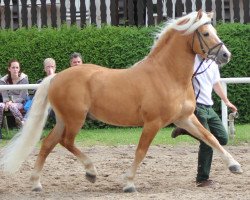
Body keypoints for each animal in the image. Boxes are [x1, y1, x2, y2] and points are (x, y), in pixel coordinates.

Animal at [0, 10, 242, 192]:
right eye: (206, 33)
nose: (226, 55)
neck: (167, 75)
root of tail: (56, 77)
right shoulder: (153, 123)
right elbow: (141, 151)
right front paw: (128, 183)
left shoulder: (185, 118)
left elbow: (211, 137)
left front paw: (235, 166)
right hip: (75, 119)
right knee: (65, 142)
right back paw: (90, 172)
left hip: (63, 119)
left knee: (48, 143)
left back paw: (37, 183)